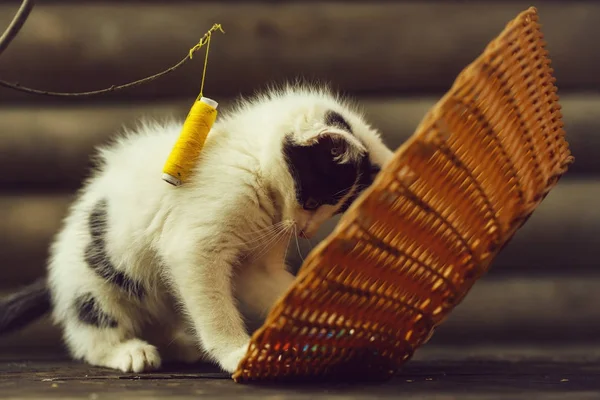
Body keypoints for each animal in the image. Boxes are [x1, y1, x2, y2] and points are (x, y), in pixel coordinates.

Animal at [0, 83, 394, 374]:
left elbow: (277, 288)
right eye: (311, 201)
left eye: (335, 210)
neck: (254, 169)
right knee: (89, 331)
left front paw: (343, 323)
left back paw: (181, 347)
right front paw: (236, 352)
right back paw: (128, 352)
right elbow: (213, 305)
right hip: (93, 282)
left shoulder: (256, 263)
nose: (306, 232)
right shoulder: (193, 247)